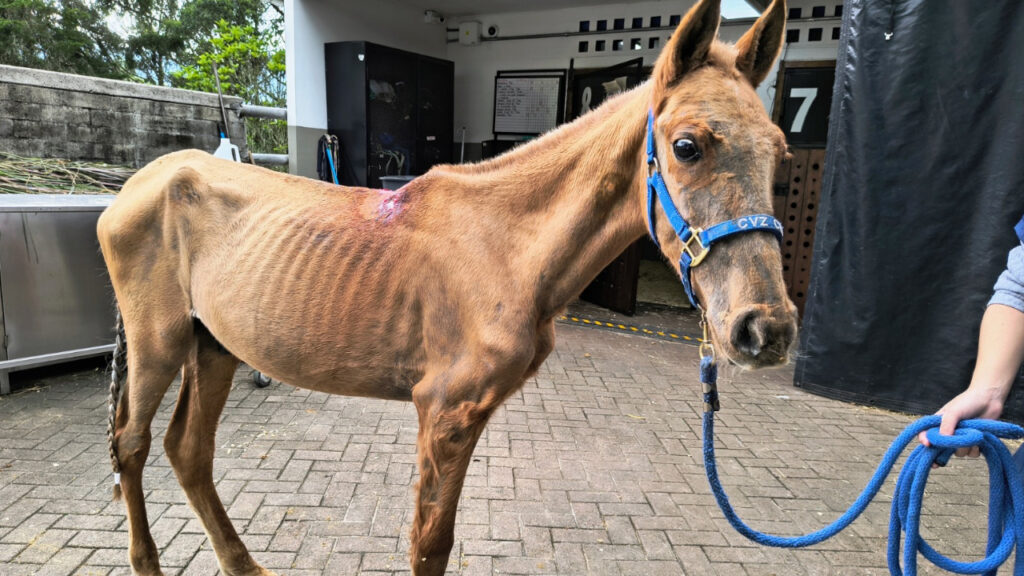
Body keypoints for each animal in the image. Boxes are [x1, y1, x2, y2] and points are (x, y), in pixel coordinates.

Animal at [97, 0, 795, 573]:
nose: (766, 329)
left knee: (188, 450)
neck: (506, 245)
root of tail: (143, 181)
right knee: (130, 444)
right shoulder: (446, 413)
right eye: (686, 145)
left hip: (213, 345)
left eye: (782, 152)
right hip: (159, 344)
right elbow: (429, 545)